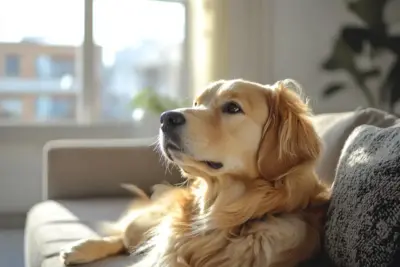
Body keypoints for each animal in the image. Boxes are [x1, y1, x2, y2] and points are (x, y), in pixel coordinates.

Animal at [61, 79, 332, 267]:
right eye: (197, 103)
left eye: (232, 107)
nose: (166, 118)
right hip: (143, 226)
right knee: (124, 236)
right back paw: (81, 248)